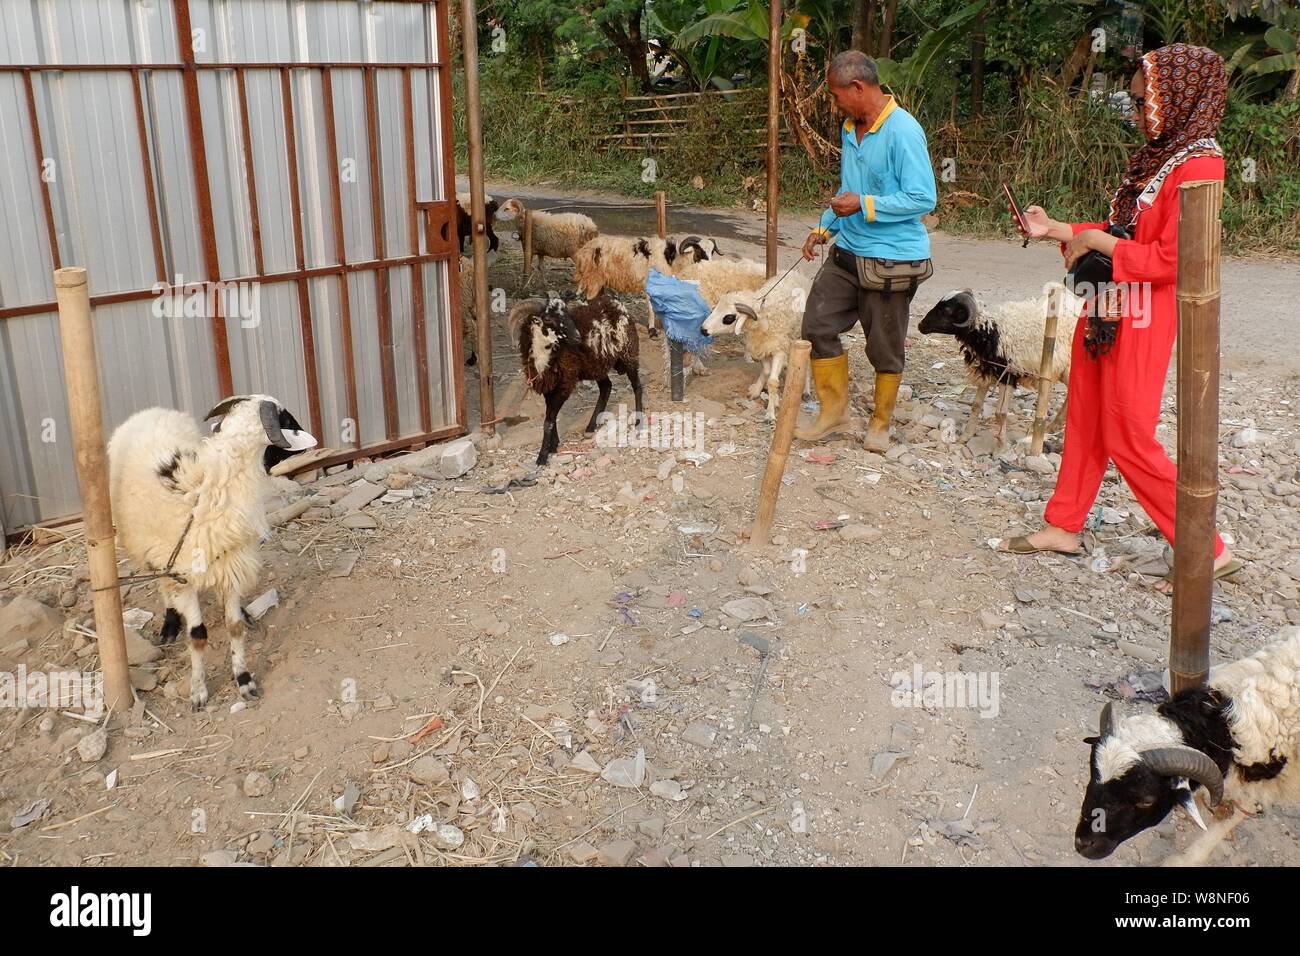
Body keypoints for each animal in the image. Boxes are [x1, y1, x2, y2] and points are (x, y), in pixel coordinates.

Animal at [106, 395, 314, 712]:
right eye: (287, 420)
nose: (310, 440)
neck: (209, 487)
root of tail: (150, 411)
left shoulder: (231, 565)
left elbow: (234, 627)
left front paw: (244, 680)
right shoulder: (181, 575)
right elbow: (198, 636)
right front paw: (198, 691)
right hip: (150, 552)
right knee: (162, 585)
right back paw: (170, 624)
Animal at [512, 295, 644, 468]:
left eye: (566, 312)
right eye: (547, 318)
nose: (577, 337)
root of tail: (617, 305)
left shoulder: (565, 384)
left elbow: (549, 421)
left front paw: (542, 457)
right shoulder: (550, 386)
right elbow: (550, 416)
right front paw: (553, 446)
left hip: (629, 353)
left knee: (637, 386)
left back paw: (638, 421)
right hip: (597, 363)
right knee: (606, 387)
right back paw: (591, 426)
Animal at [702, 269, 811, 418]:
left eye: (729, 317)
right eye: (715, 309)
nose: (703, 330)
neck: (762, 317)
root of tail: (797, 273)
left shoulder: (779, 350)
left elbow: (772, 381)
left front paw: (770, 413)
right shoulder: (761, 347)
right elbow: (766, 371)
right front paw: (758, 391)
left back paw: (806, 391)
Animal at [915, 282, 1086, 447]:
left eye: (947, 310)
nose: (920, 325)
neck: (991, 332)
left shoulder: (1008, 374)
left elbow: (1000, 413)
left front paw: (1000, 447)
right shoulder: (986, 371)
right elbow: (976, 405)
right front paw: (965, 437)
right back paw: (1052, 427)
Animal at [1076, 629, 1300, 868]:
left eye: (1147, 800)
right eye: (1092, 776)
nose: (1083, 844)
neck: (1224, 728)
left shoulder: (1259, 786)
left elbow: (1227, 820)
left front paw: (1184, 860)